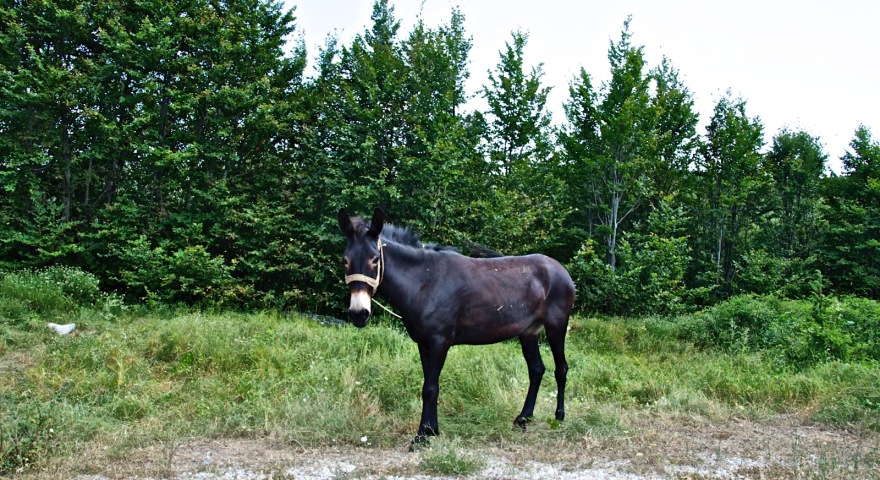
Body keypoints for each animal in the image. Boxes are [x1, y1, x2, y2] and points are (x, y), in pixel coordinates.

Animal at [337, 207, 575, 446]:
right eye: (345, 260)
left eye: (375, 260)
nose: (358, 314)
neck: (424, 280)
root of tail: (559, 268)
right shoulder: (423, 343)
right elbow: (430, 383)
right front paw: (431, 430)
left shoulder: (440, 342)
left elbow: (430, 388)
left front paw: (422, 436)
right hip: (529, 333)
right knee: (536, 370)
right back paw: (524, 418)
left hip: (556, 327)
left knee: (561, 369)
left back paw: (559, 416)